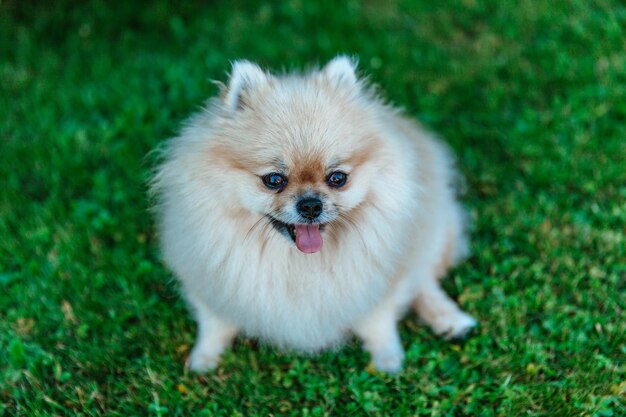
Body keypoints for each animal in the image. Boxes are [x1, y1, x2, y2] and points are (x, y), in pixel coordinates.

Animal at [151, 57, 472, 372]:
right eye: (273, 180)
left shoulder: (382, 279)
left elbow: (378, 321)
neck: (299, 263)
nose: (310, 205)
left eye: (338, 178)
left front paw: (388, 360)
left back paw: (451, 320)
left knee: (426, 281)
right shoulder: (206, 278)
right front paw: (203, 360)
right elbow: (214, 324)